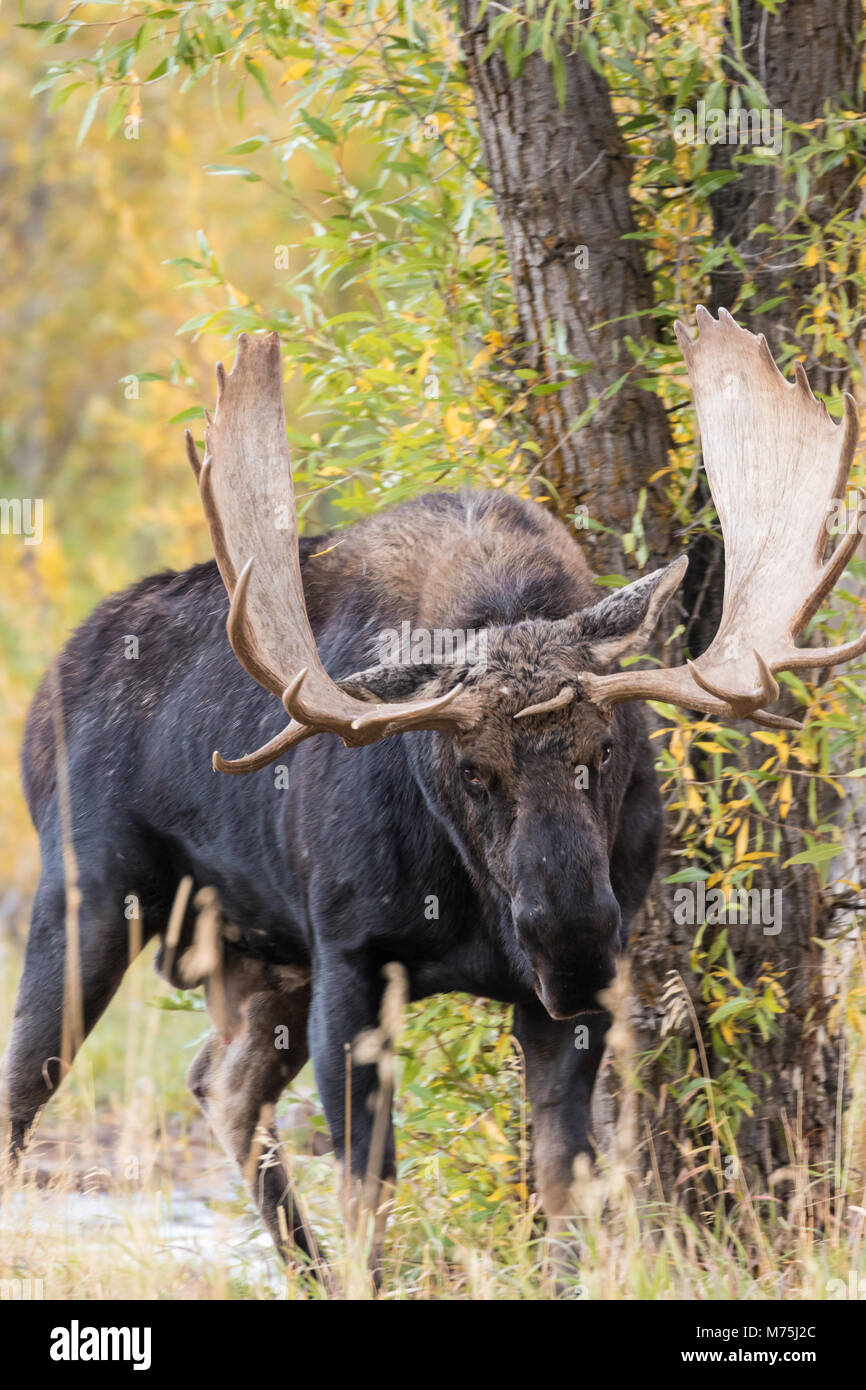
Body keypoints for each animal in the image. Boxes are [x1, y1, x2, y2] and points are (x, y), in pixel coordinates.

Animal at [1, 309, 866, 1273]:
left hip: (255, 951)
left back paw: (302, 1269)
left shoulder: (567, 1004)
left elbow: (565, 1183)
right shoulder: (351, 959)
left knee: (219, 1082)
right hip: (88, 894)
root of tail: (48, 687)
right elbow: (369, 1188)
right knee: (28, 1092)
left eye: (604, 750)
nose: (570, 938)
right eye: (470, 770)